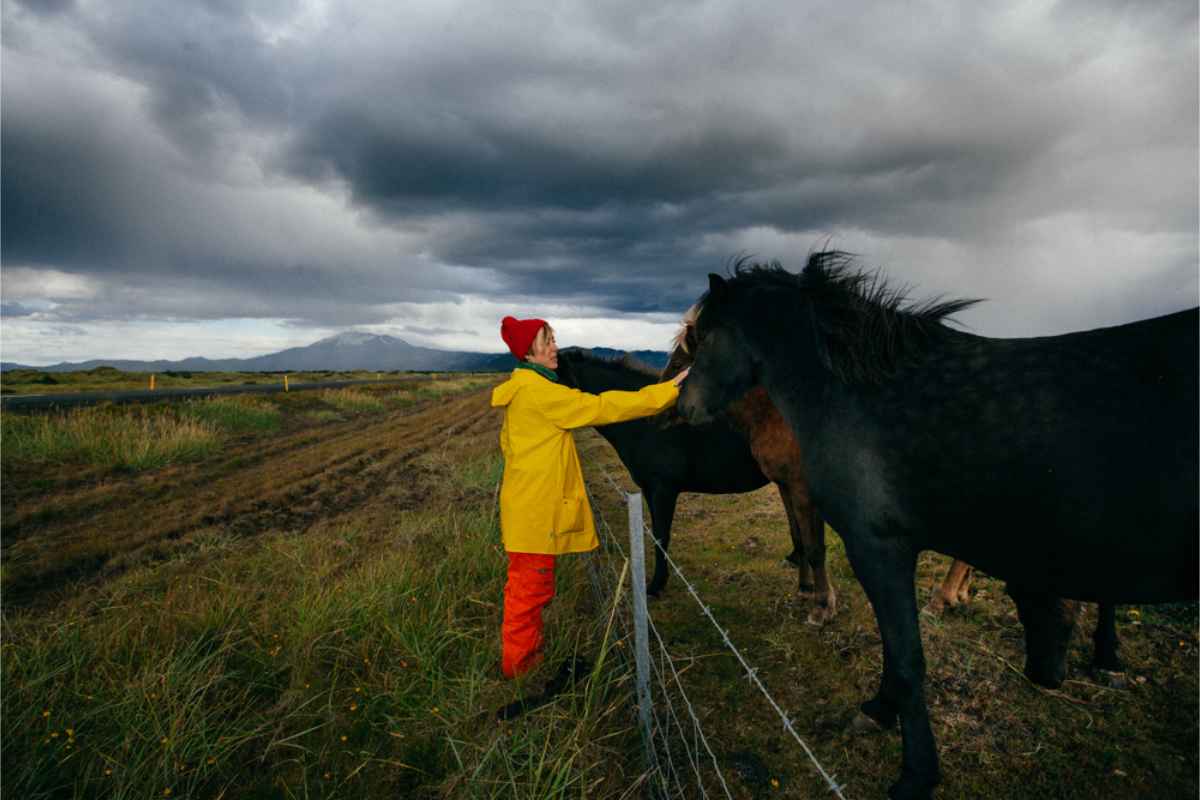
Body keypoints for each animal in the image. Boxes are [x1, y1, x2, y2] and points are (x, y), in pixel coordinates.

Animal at [661, 313, 837, 622]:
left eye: (680, 365)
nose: (657, 414)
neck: (775, 416)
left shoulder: (803, 490)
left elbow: (814, 546)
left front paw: (822, 606)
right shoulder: (785, 486)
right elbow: (799, 538)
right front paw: (806, 589)